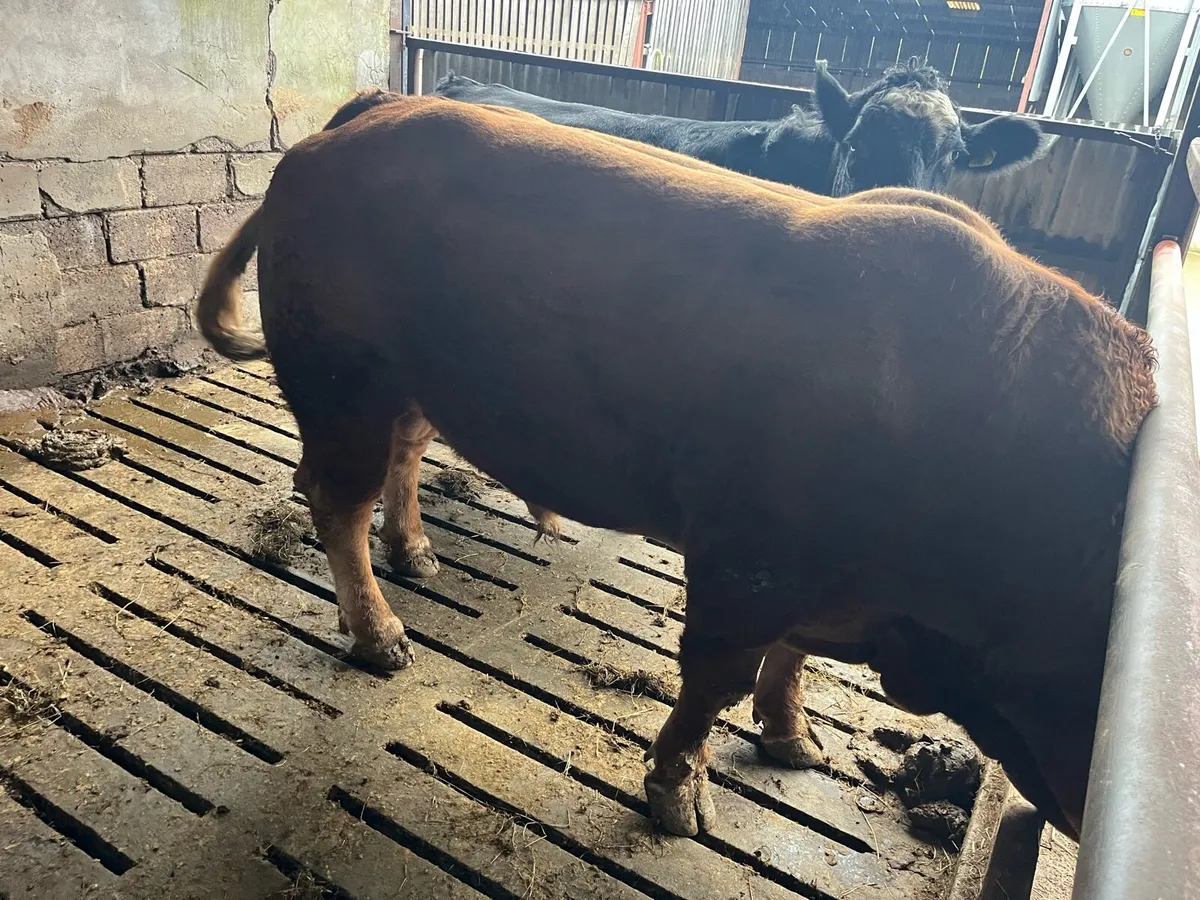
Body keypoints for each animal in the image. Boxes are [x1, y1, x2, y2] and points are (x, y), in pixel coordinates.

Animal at [196, 95, 1156, 841]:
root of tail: (358, 119)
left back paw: (418, 553)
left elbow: (793, 662)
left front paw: (794, 741)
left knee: (405, 449)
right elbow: (714, 679)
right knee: (335, 500)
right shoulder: (749, 558)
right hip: (342, 373)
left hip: (414, 378)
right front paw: (679, 799)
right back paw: (384, 636)